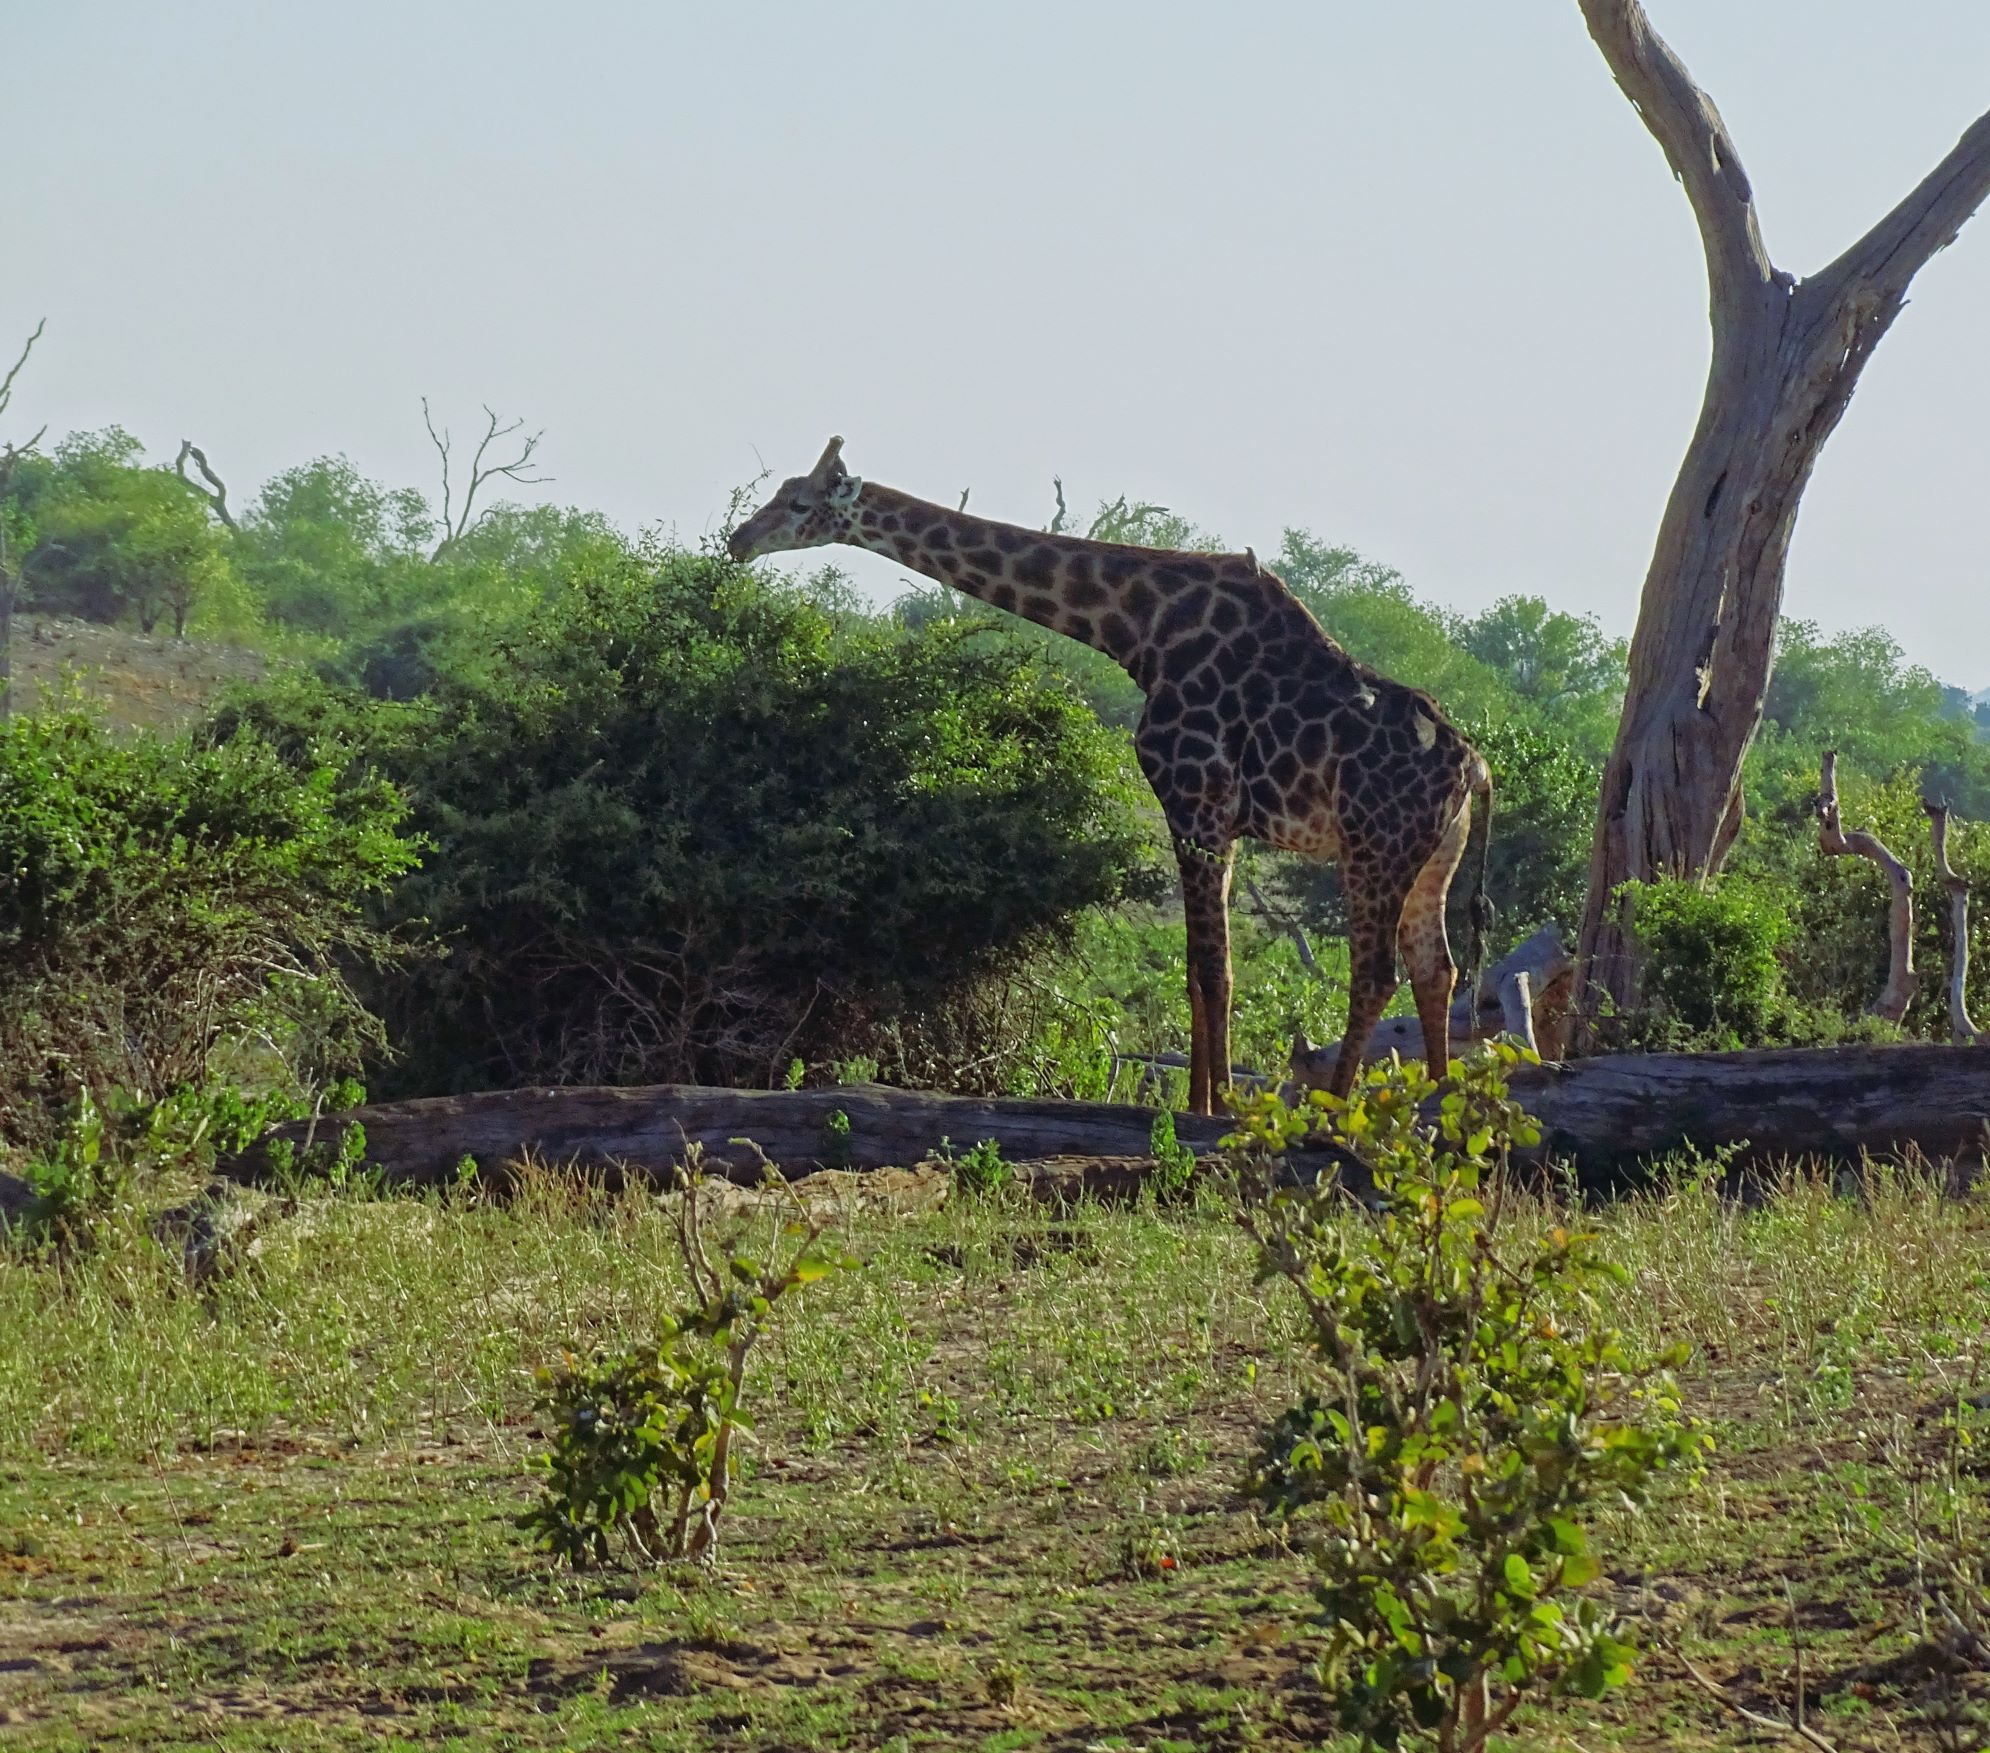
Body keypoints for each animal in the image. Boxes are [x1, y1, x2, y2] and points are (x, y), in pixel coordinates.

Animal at [732, 441, 1496, 1122]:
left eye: (798, 502)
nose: (740, 538)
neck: (1139, 628)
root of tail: (1475, 766)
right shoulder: (1214, 819)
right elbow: (1199, 968)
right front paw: (1202, 1100)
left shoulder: (1195, 801)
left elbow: (1210, 967)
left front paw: (1217, 1106)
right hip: (1434, 854)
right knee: (1436, 967)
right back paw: (1439, 1101)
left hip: (1374, 845)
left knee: (1376, 973)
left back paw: (1340, 1108)